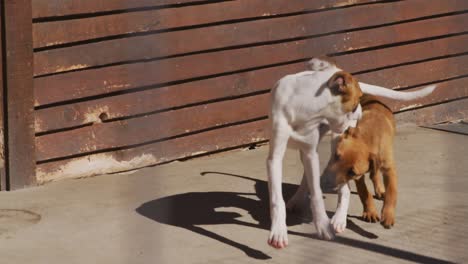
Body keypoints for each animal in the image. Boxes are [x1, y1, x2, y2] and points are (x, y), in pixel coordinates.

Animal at [328, 94, 396, 228]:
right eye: (336, 156)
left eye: (352, 172)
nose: (330, 180)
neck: (368, 139)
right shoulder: (359, 177)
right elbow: (364, 192)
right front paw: (370, 212)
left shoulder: (388, 168)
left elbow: (391, 191)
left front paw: (388, 215)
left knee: (375, 173)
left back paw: (380, 190)